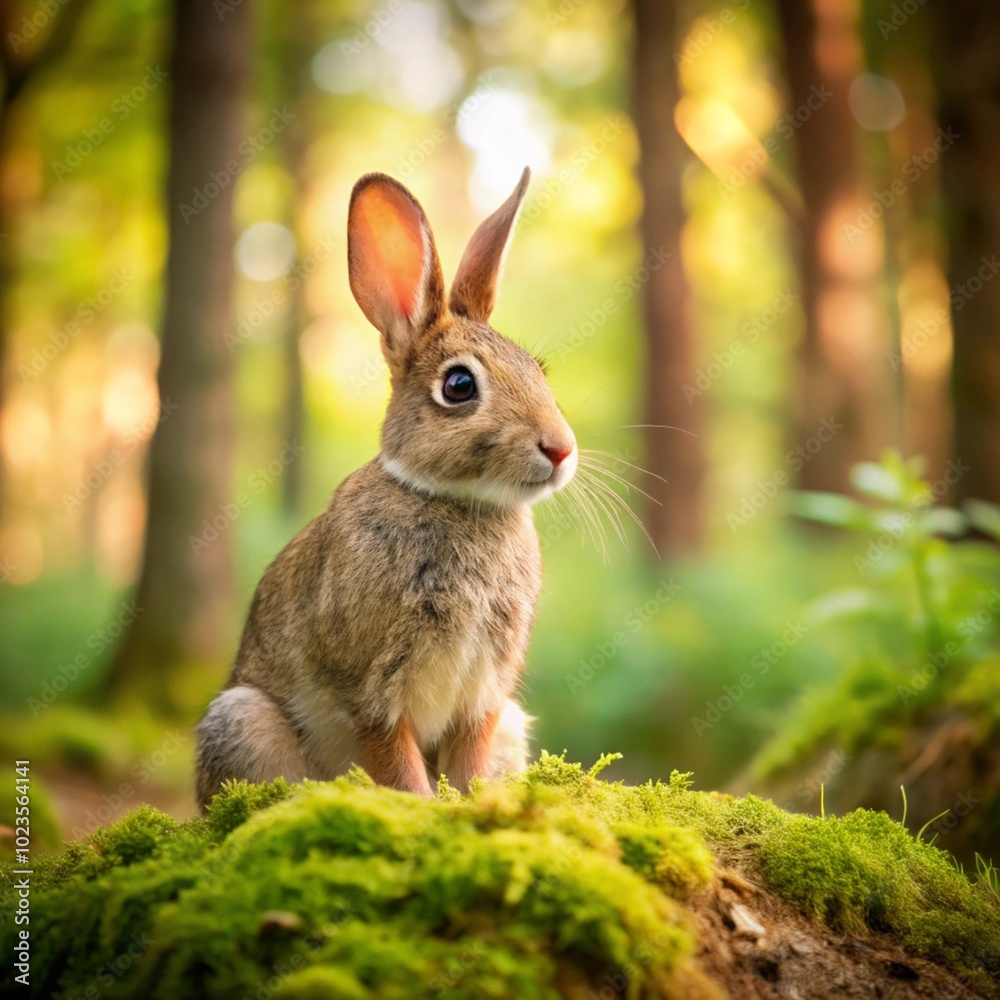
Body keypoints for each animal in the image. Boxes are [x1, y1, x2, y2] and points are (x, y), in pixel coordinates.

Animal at [195, 166, 576, 810]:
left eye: (539, 372)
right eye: (458, 386)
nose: (561, 448)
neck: (456, 501)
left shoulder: (485, 696)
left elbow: (469, 757)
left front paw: (474, 805)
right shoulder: (371, 687)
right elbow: (394, 759)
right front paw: (423, 809)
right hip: (242, 719)